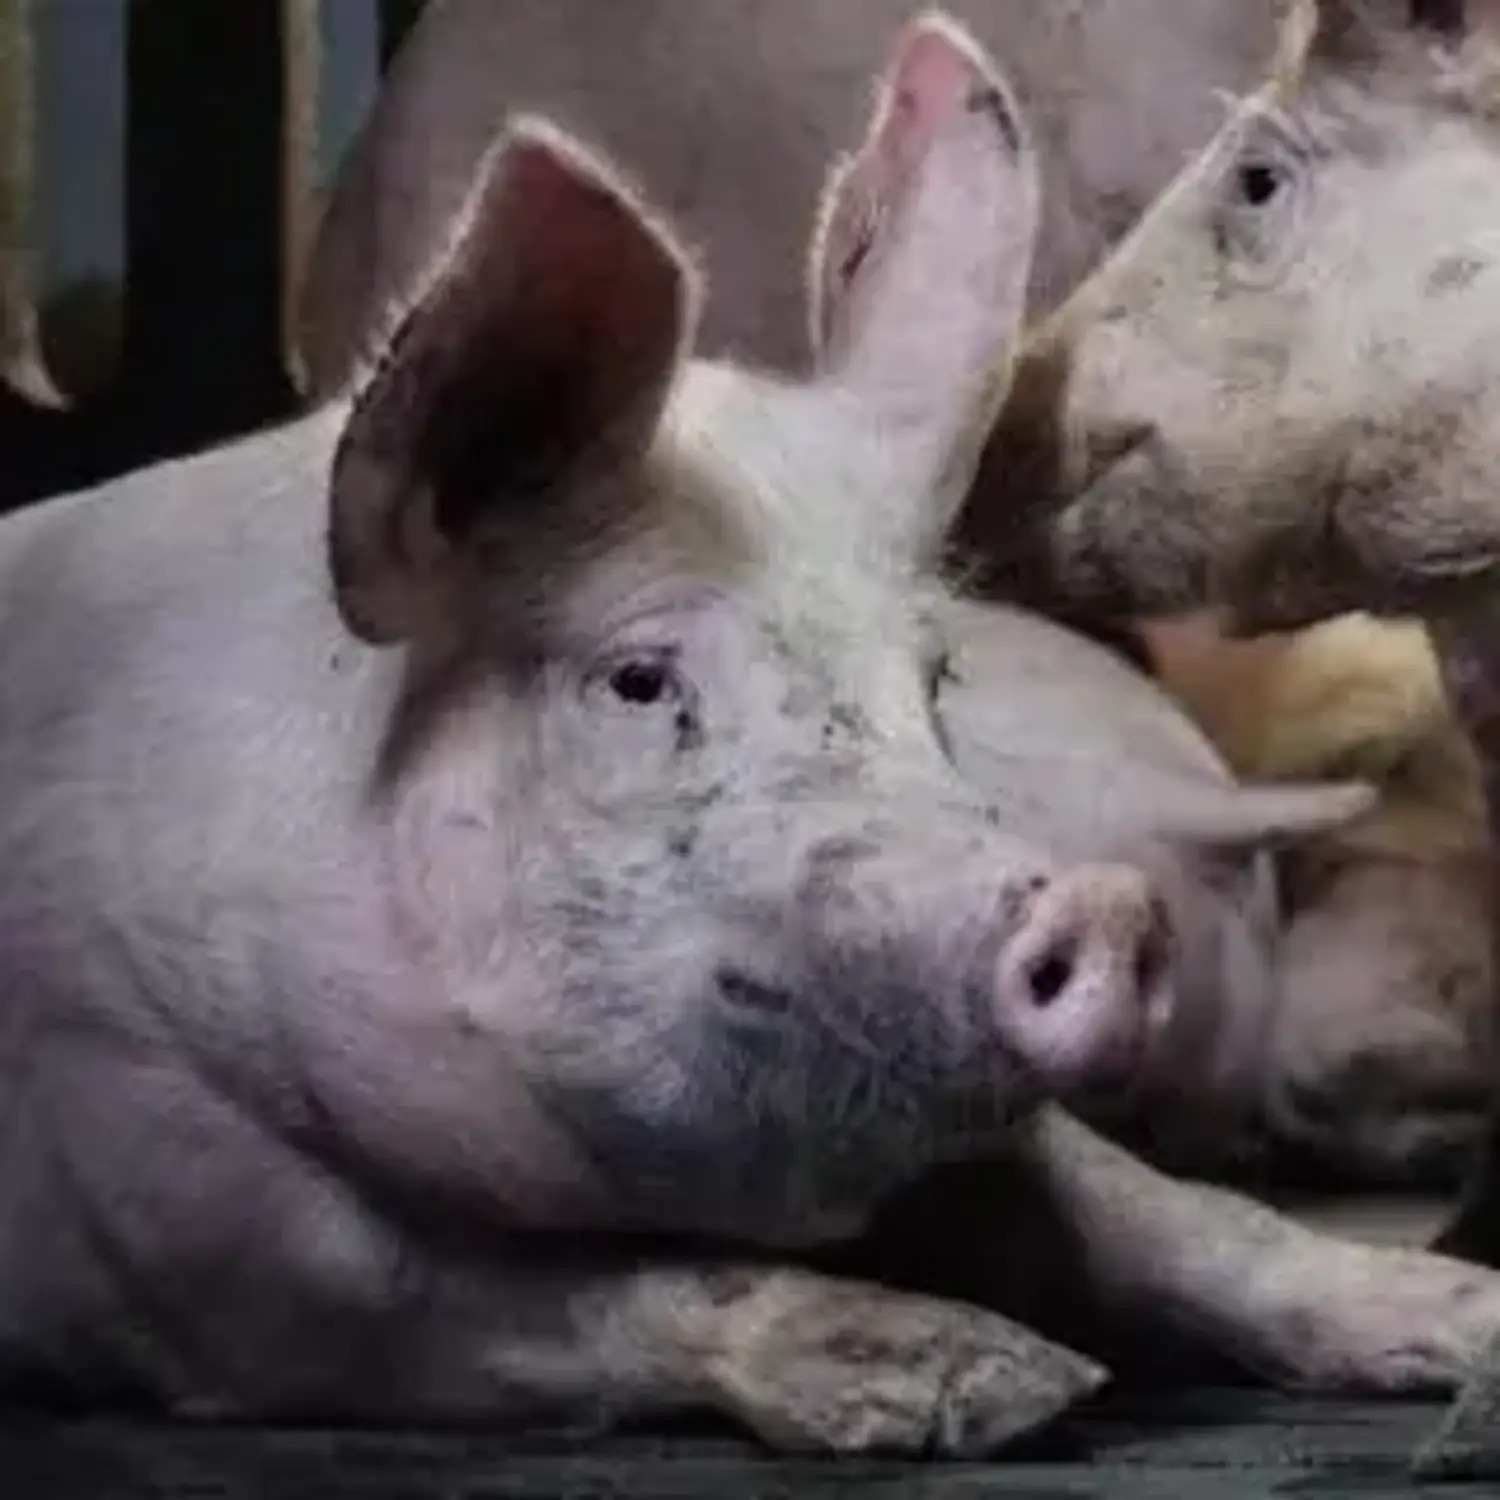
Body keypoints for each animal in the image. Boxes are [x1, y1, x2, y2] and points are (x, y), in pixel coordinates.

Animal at [3, 12, 1499, 1455]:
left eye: (934, 677)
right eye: (639, 683)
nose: (1102, 904)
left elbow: (1173, 1218)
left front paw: (1462, 1318)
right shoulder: (200, 1211)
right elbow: (572, 1303)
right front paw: (1008, 1383)